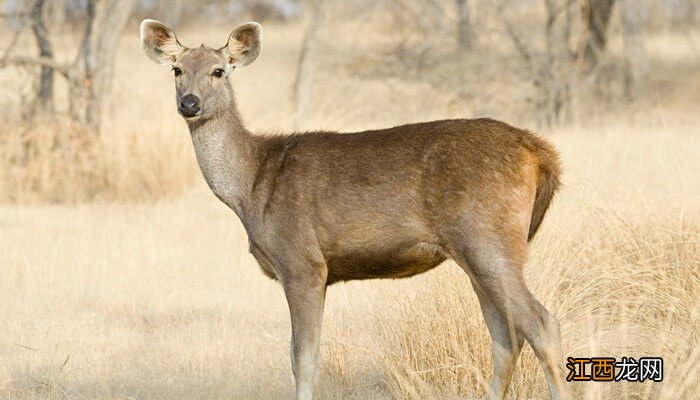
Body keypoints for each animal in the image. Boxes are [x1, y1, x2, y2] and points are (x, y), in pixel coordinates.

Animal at [141, 19, 568, 400]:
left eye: (218, 70)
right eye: (177, 69)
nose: (189, 103)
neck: (251, 186)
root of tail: (539, 152)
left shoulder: (303, 262)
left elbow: (303, 358)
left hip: (487, 238)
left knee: (541, 324)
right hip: (477, 251)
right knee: (505, 337)